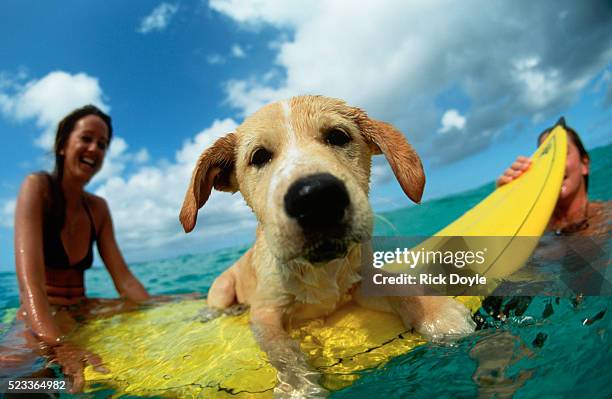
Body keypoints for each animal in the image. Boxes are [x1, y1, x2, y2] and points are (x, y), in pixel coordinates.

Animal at [179, 94, 476, 396]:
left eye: (338, 136)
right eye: (259, 156)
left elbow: (397, 284)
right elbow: (282, 350)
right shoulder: (265, 313)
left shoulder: (361, 282)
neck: (319, 270)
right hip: (223, 287)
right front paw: (297, 385)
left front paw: (436, 312)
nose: (314, 197)